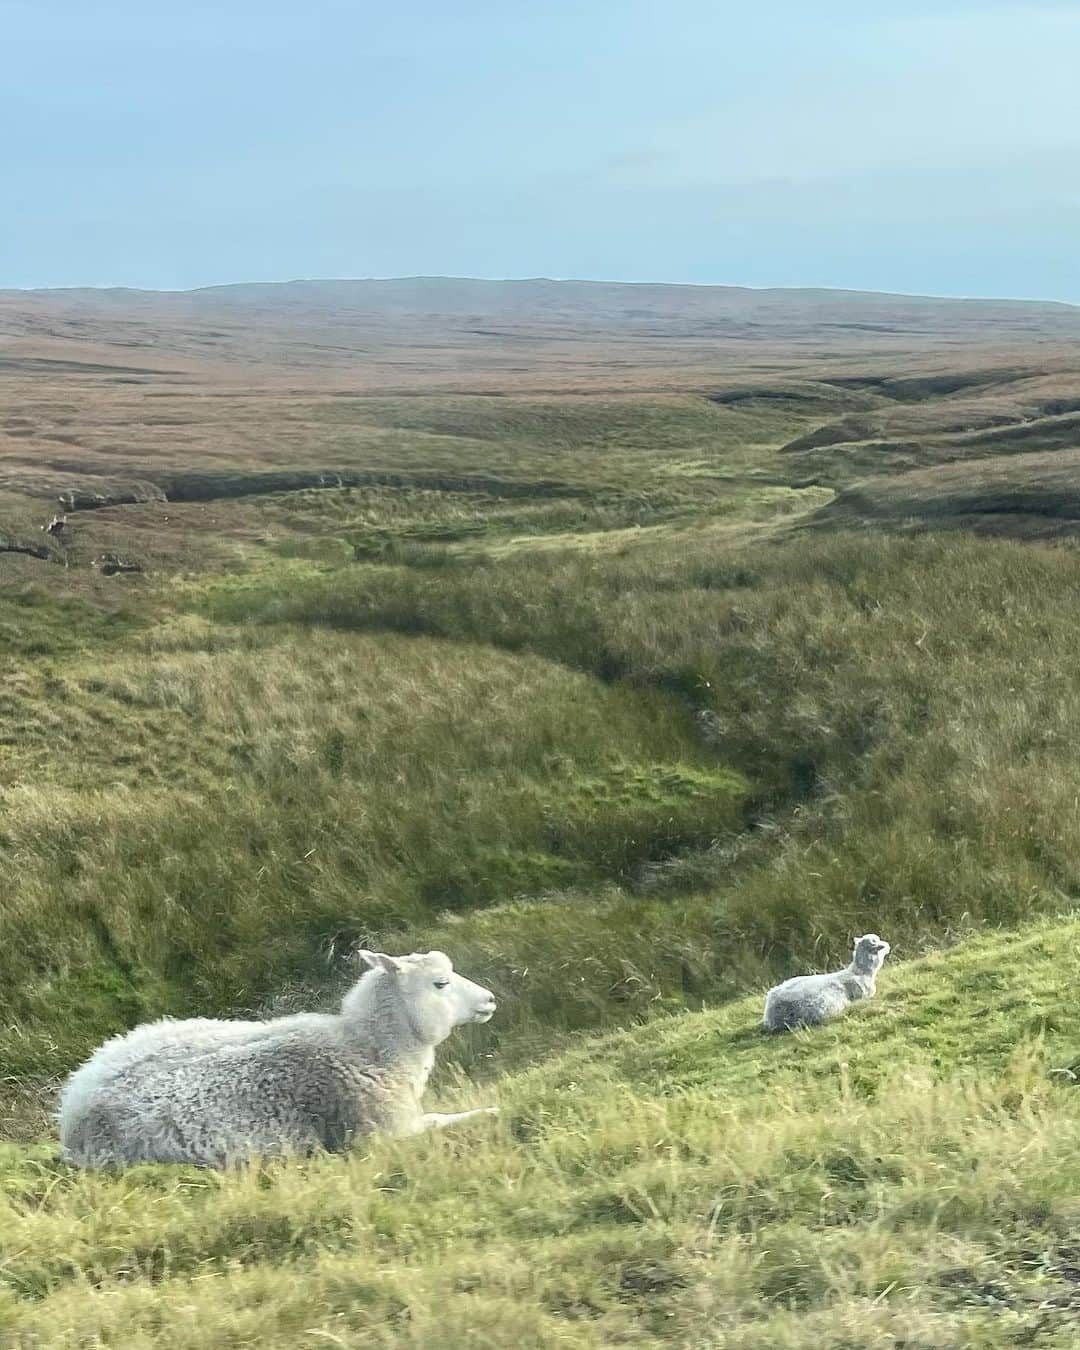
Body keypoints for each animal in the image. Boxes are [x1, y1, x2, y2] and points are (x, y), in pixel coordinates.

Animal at [59, 950, 496, 1171]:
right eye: (440, 983)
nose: (491, 999)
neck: (366, 1047)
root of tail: (71, 1105)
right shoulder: (384, 1132)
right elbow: (443, 1121)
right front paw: (492, 1109)